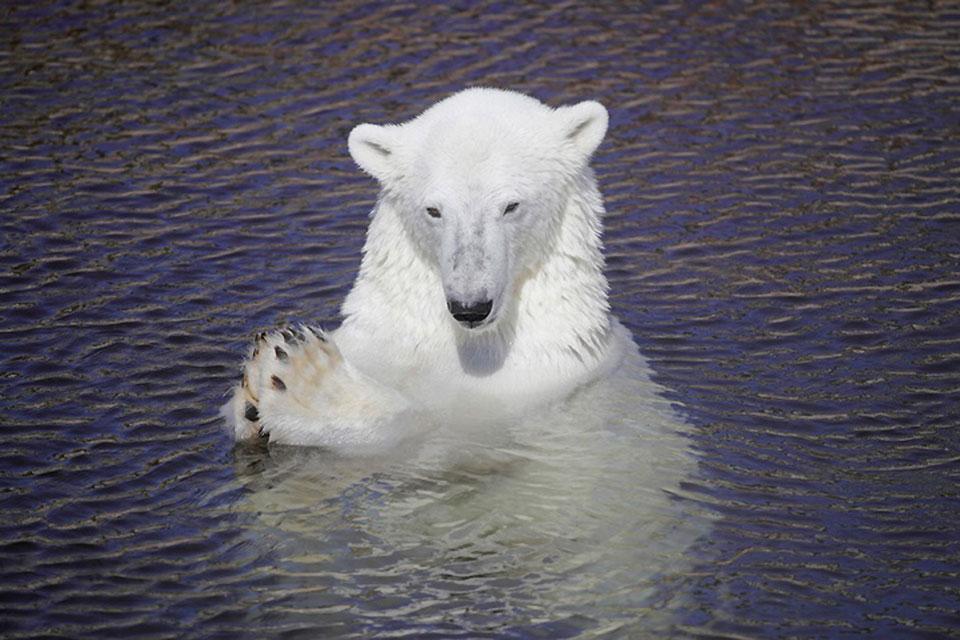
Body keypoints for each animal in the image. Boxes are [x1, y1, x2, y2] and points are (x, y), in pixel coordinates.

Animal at [221, 89, 632, 450]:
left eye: (511, 205)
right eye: (434, 210)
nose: (470, 307)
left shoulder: (522, 392)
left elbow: (420, 425)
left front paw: (304, 376)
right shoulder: (385, 339)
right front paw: (249, 398)